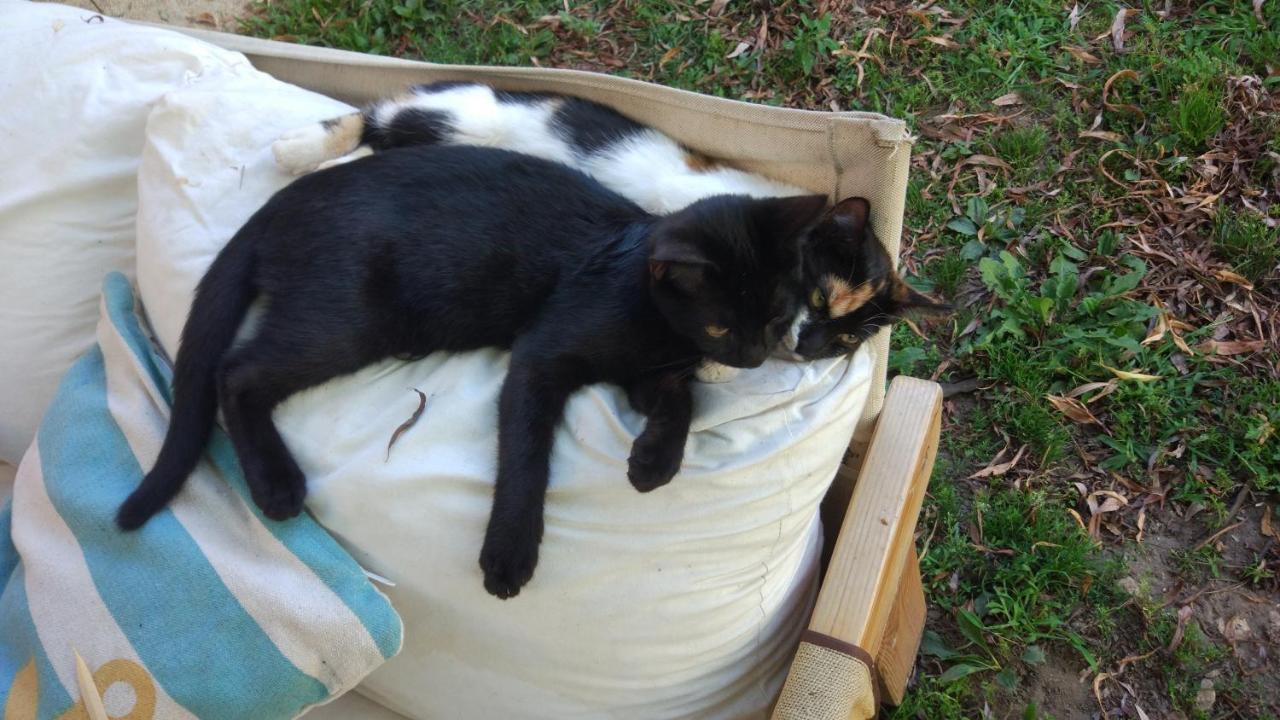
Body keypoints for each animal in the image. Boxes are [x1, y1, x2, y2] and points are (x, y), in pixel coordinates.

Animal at [120, 142, 829, 597]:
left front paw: (655, 461)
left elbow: (681, 399)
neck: (646, 305)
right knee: (236, 372)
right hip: (349, 321)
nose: (754, 356)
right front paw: (509, 553)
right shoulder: (540, 356)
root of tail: (278, 204)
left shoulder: (649, 374)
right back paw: (275, 483)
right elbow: (525, 456)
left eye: (776, 316)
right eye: (722, 326)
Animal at [272, 81, 952, 366]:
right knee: (368, 117)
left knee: (372, 140)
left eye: (845, 340)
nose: (810, 348)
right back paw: (296, 152)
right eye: (818, 298)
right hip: (454, 113)